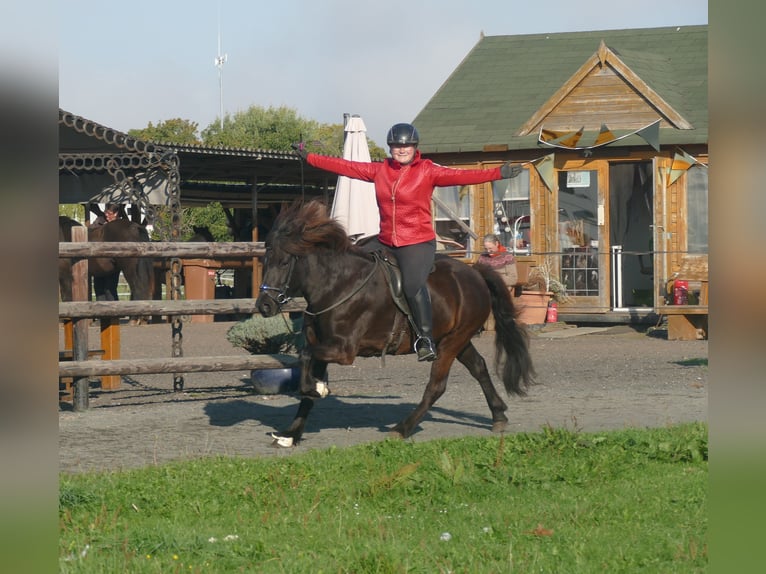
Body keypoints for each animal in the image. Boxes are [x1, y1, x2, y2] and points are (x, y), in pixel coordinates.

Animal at [255, 200, 535, 445]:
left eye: (284, 262)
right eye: (265, 260)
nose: (264, 306)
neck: (337, 285)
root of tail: (474, 272)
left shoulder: (343, 350)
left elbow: (304, 357)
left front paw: (317, 390)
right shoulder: (322, 345)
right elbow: (306, 379)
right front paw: (291, 433)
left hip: (451, 343)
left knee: (436, 386)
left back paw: (402, 428)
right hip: (457, 339)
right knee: (479, 367)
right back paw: (498, 415)